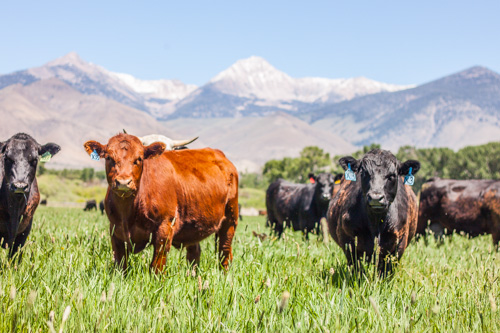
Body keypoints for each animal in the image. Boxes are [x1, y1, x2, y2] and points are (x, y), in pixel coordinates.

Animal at [83, 133, 239, 272]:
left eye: (139, 159)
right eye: (109, 157)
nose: (123, 182)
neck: (129, 211)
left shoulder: (165, 228)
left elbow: (156, 266)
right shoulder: (116, 232)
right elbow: (121, 266)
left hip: (230, 219)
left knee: (224, 252)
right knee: (194, 254)